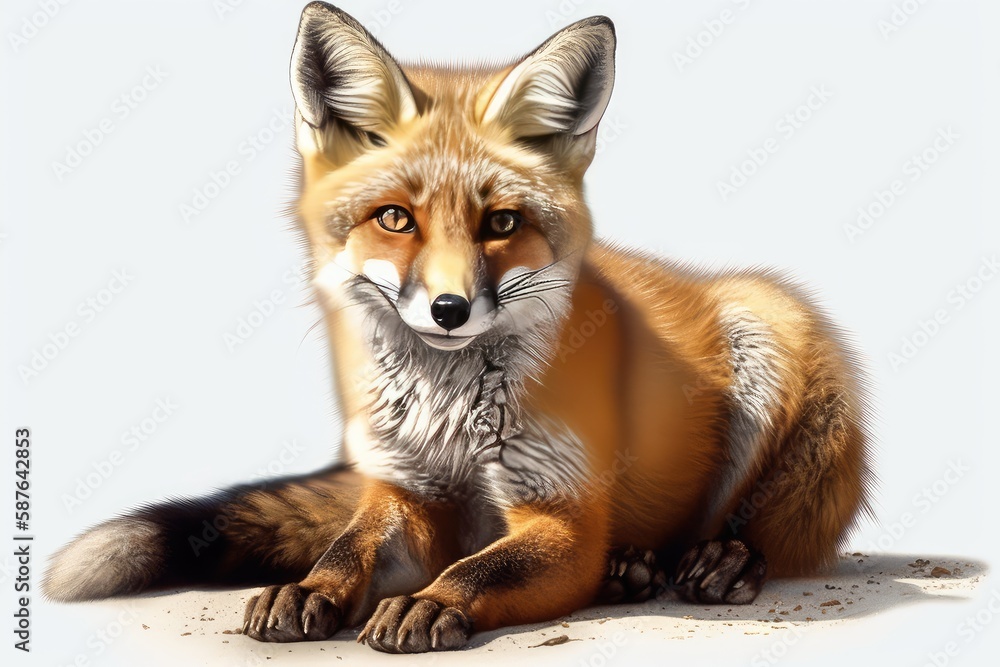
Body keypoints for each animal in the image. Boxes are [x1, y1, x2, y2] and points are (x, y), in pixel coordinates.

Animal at [44, 1, 875, 654]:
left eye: (501, 223)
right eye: (395, 219)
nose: (449, 309)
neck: (445, 415)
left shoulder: (561, 515)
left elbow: (479, 566)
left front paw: (429, 602)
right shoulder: (410, 490)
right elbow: (350, 542)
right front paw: (311, 586)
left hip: (766, 332)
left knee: (774, 533)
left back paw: (721, 560)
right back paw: (630, 568)